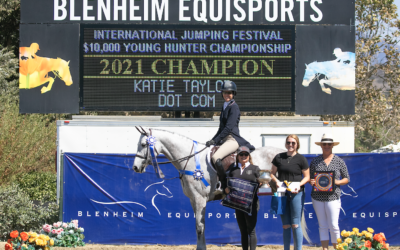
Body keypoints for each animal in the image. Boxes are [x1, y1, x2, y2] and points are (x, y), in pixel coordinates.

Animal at [134, 129, 310, 250]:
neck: (190, 159)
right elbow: (199, 226)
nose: (135, 167)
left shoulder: (199, 199)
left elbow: (199, 227)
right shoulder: (193, 200)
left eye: (143, 145)